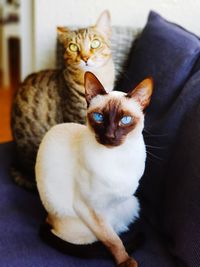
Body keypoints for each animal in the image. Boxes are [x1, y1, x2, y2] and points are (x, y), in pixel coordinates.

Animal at [35, 71, 152, 267]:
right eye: (99, 117)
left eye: (125, 120)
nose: (110, 136)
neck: (117, 158)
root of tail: (48, 219)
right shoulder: (91, 210)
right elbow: (113, 240)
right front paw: (125, 261)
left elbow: (114, 235)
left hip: (132, 203)